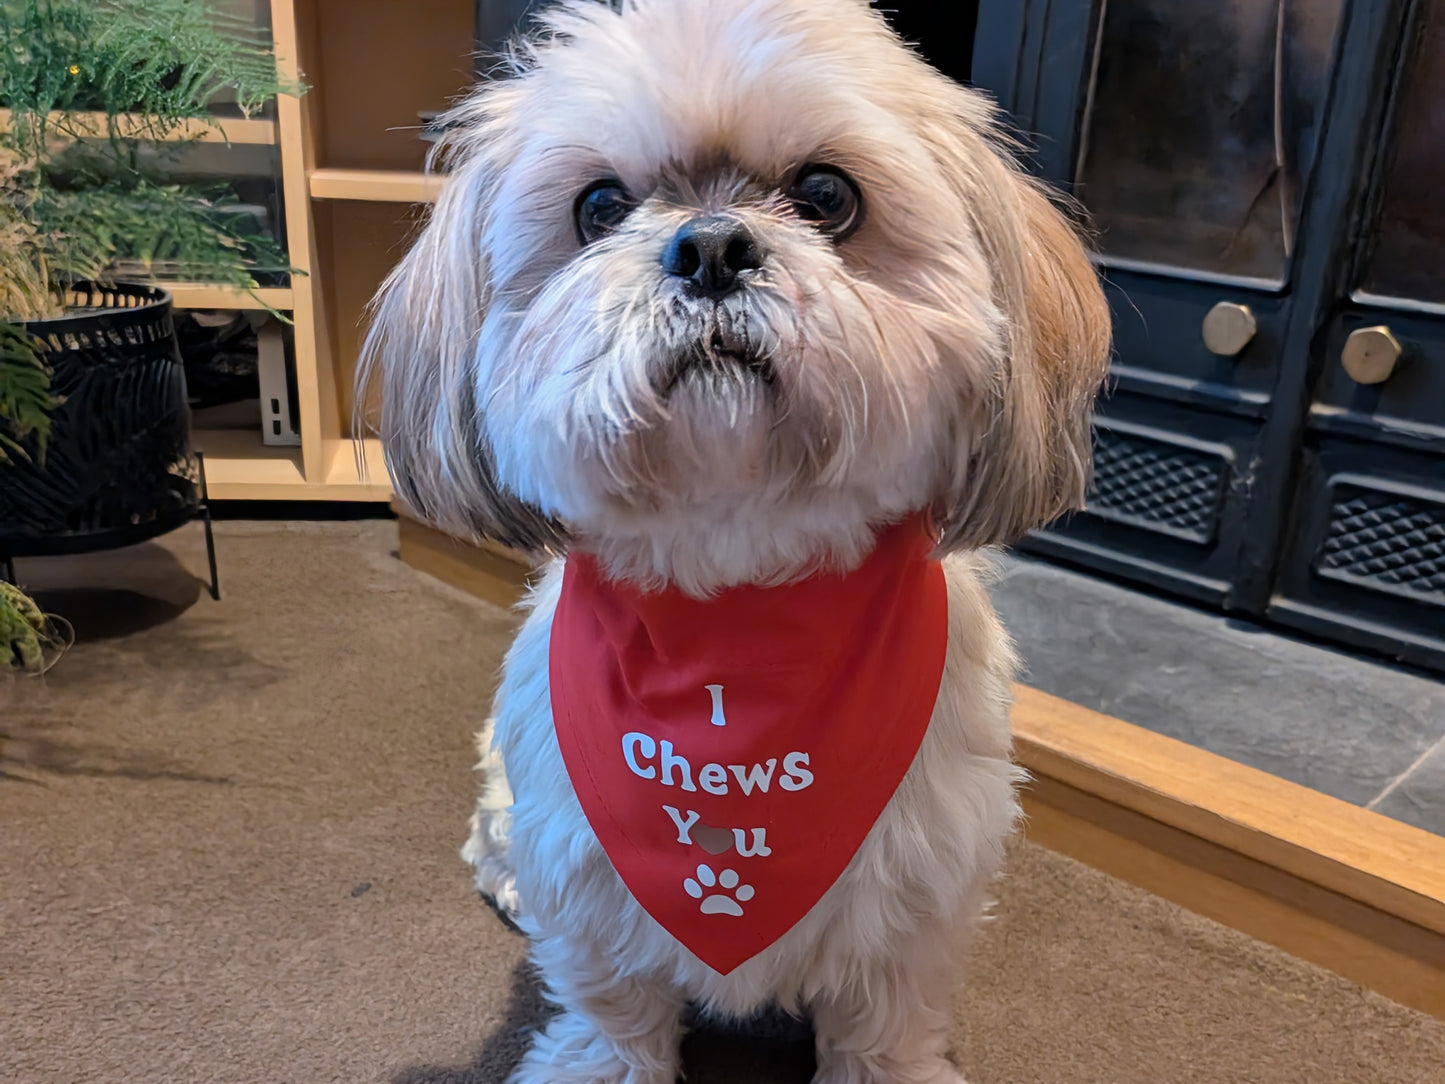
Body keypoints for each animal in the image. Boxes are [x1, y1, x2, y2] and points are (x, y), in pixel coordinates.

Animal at [361, 2, 1103, 1084]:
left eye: (826, 195)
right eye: (598, 207)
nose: (709, 245)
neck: (739, 605)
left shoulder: (915, 893)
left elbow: (885, 1024)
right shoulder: (589, 873)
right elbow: (613, 1009)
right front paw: (597, 1062)